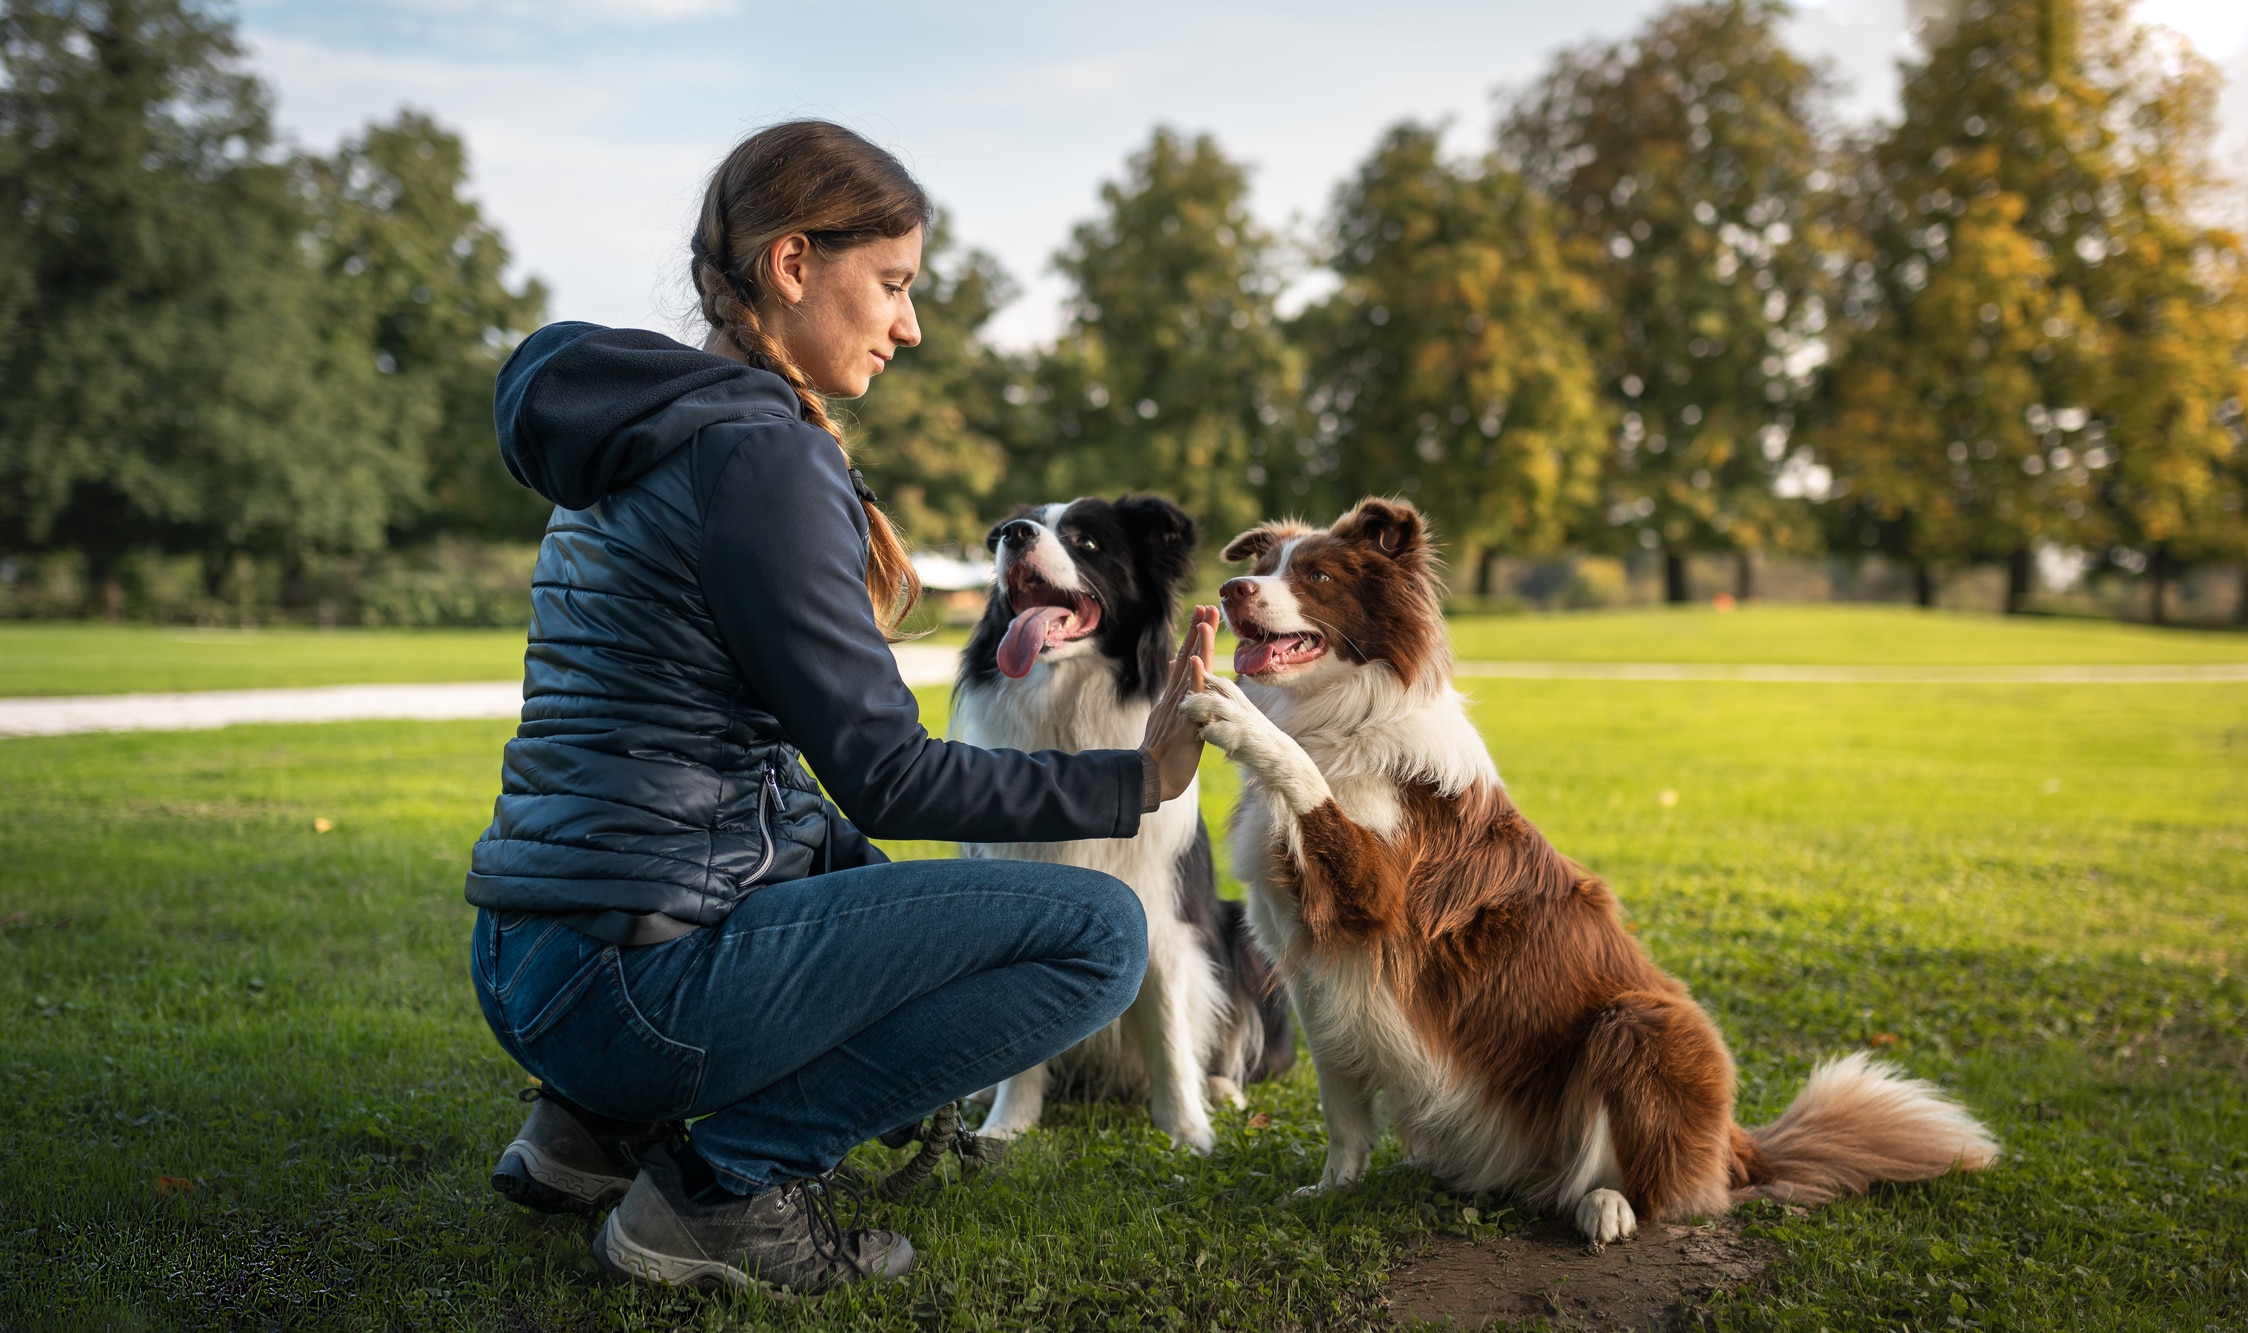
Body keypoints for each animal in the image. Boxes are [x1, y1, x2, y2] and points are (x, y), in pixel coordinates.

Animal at [953, 494, 1303, 1150]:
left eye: (1086, 542)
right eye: (1021, 524)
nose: (1014, 534)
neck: (1068, 705)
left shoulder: (1163, 916)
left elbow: (1169, 1030)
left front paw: (1186, 1130)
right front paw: (1008, 1125)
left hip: (1241, 936)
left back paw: (1221, 1088)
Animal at [1186, 496, 1996, 1240]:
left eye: (1317, 576)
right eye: (1265, 566)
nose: (1230, 590)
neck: (1340, 720)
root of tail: (1737, 1147)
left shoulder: (1379, 896)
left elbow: (1305, 776)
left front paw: (1236, 716)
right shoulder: (1322, 975)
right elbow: (1345, 1116)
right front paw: (1330, 1192)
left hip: (1642, 1023)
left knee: (1657, 1188)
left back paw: (1606, 1205)